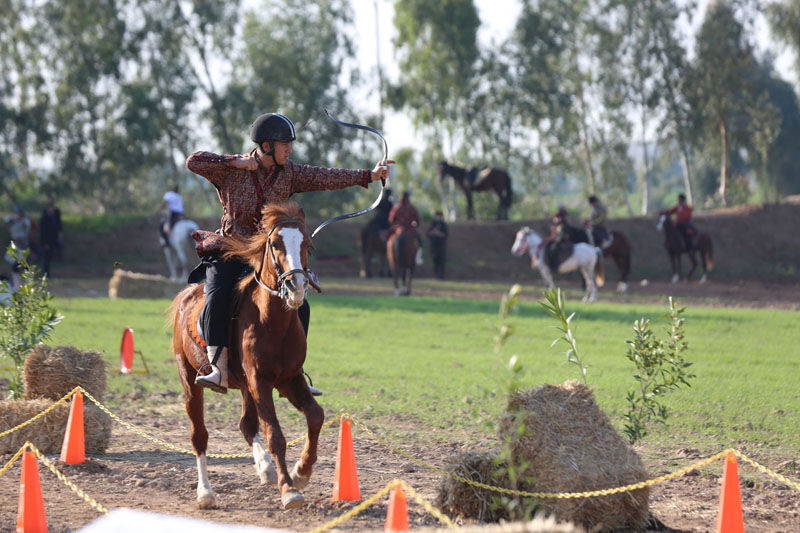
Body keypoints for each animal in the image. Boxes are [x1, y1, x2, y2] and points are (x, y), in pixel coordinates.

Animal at [171, 202, 322, 510]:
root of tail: (186, 296)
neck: (271, 321)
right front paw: (289, 489)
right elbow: (275, 435)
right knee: (199, 436)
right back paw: (205, 493)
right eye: (275, 244)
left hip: (245, 386)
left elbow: (316, 416)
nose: (297, 287)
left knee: (246, 425)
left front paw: (301, 472)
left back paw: (265, 468)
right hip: (189, 378)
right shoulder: (260, 380)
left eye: (307, 245)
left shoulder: (289, 379)